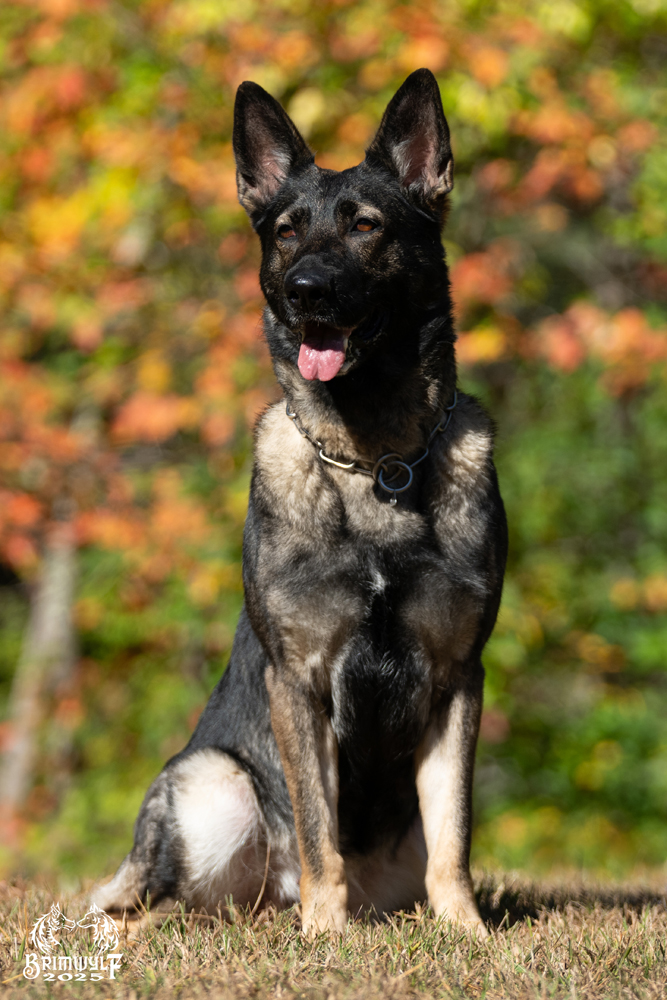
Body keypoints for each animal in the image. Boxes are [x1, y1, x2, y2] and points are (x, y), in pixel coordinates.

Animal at [95, 68, 507, 937]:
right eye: (286, 233)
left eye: (365, 227)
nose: (304, 291)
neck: (375, 461)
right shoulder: (299, 682)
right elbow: (319, 829)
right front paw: (327, 934)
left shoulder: (458, 679)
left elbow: (453, 830)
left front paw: (467, 933)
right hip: (213, 786)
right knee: (157, 907)